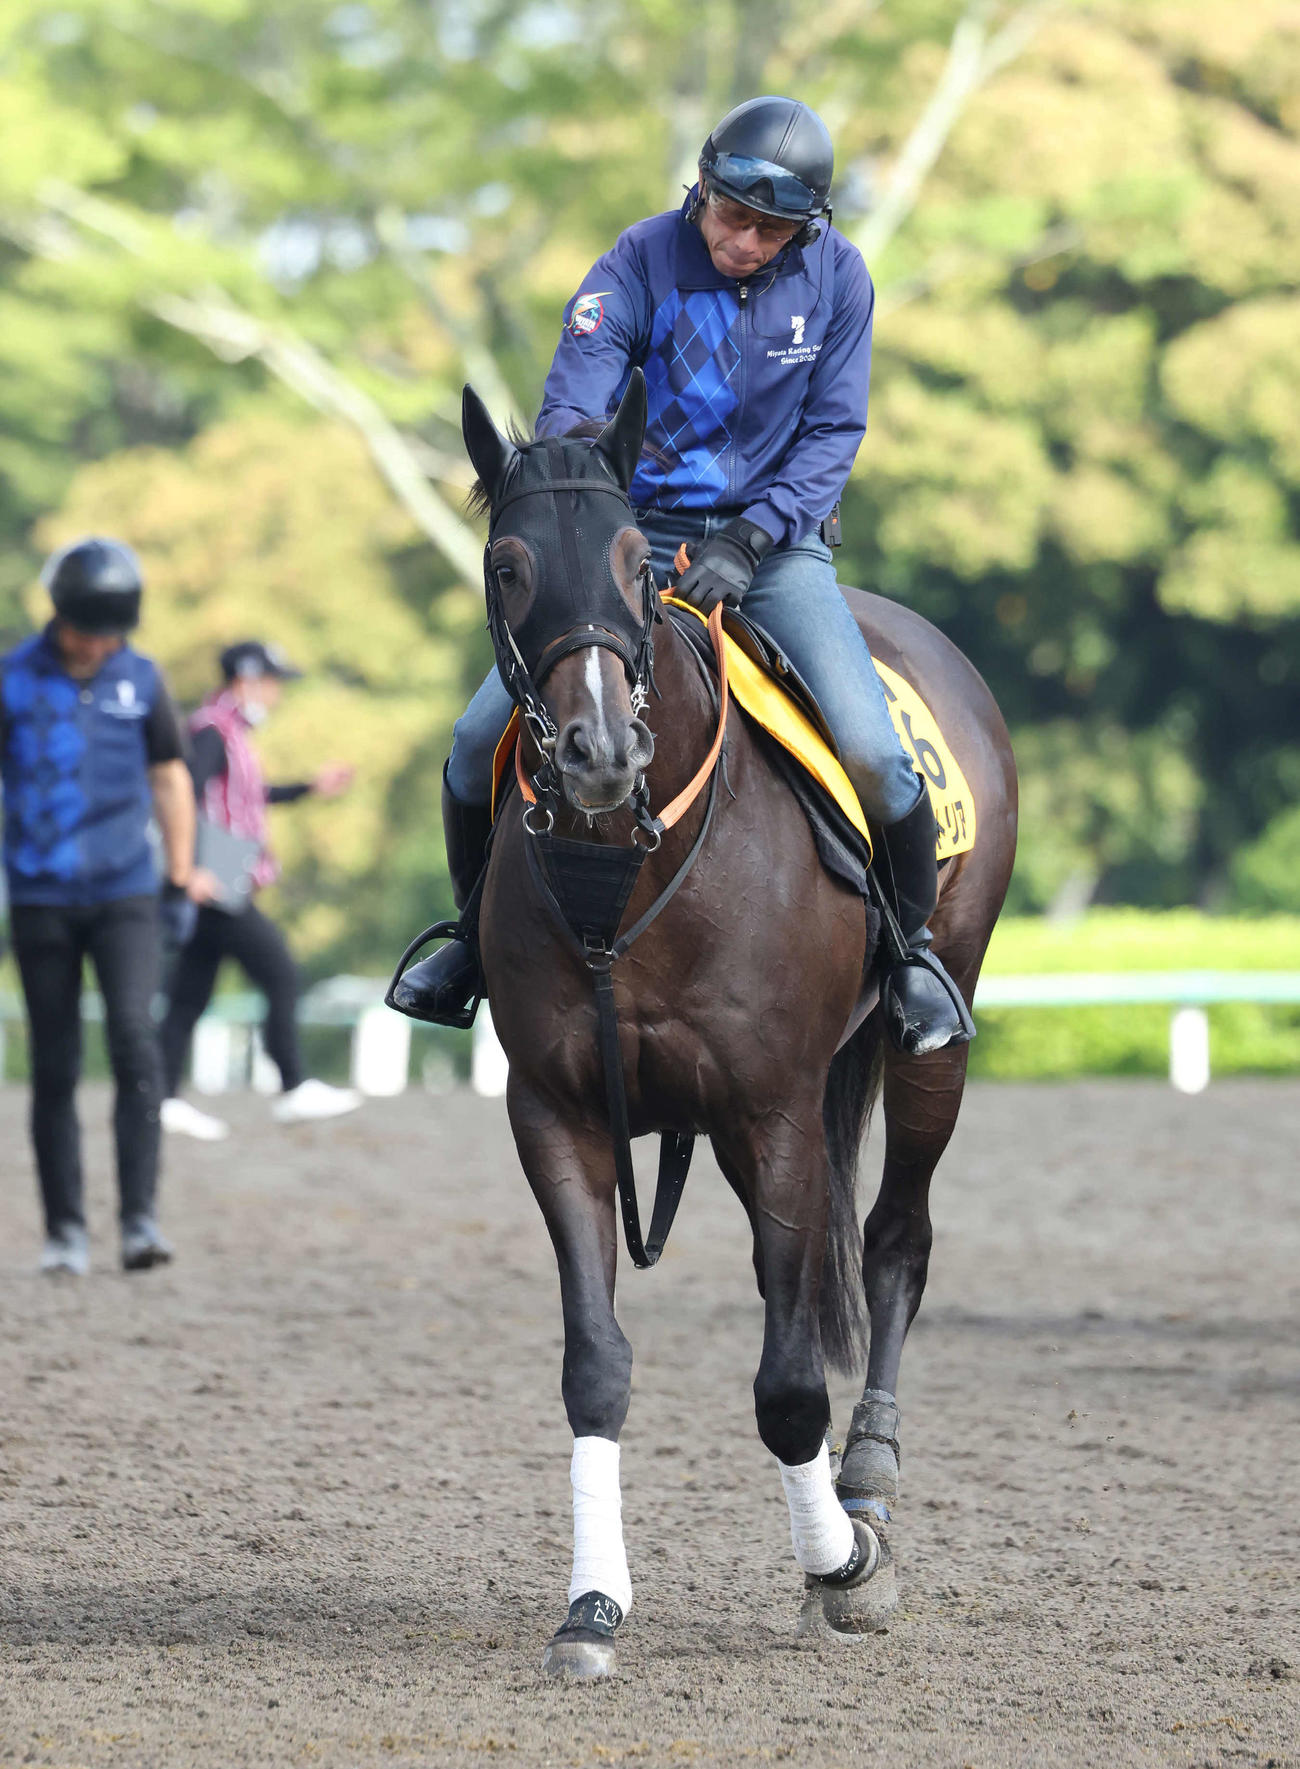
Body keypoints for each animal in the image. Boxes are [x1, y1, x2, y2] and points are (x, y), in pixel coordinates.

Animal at [458, 369, 1017, 1676]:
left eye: (630, 556)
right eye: (508, 563)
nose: (598, 750)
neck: (627, 859)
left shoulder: (773, 1110)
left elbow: (789, 1384)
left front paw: (844, 1565)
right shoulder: (556, 1112)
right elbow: (596, 1364)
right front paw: (592, 1605)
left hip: (929, 1043)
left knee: (894, 1238)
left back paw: (867, 1476)